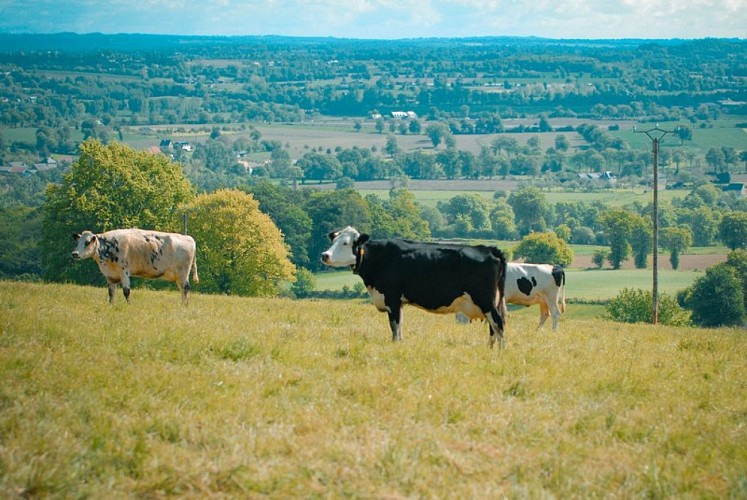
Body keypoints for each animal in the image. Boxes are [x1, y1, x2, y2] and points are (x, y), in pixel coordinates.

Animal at [322, 227, 508, 348]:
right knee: (494, 326)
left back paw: (500, 352)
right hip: (494, 301)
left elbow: (394, 326)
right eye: (334, 240)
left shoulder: (392, 298)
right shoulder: (398, 302)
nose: (325, 255)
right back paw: (490, 350)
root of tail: (488, 248)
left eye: (345, 243)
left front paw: (395, 345)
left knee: (498, 323)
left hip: (485, 300)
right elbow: (400, 325)